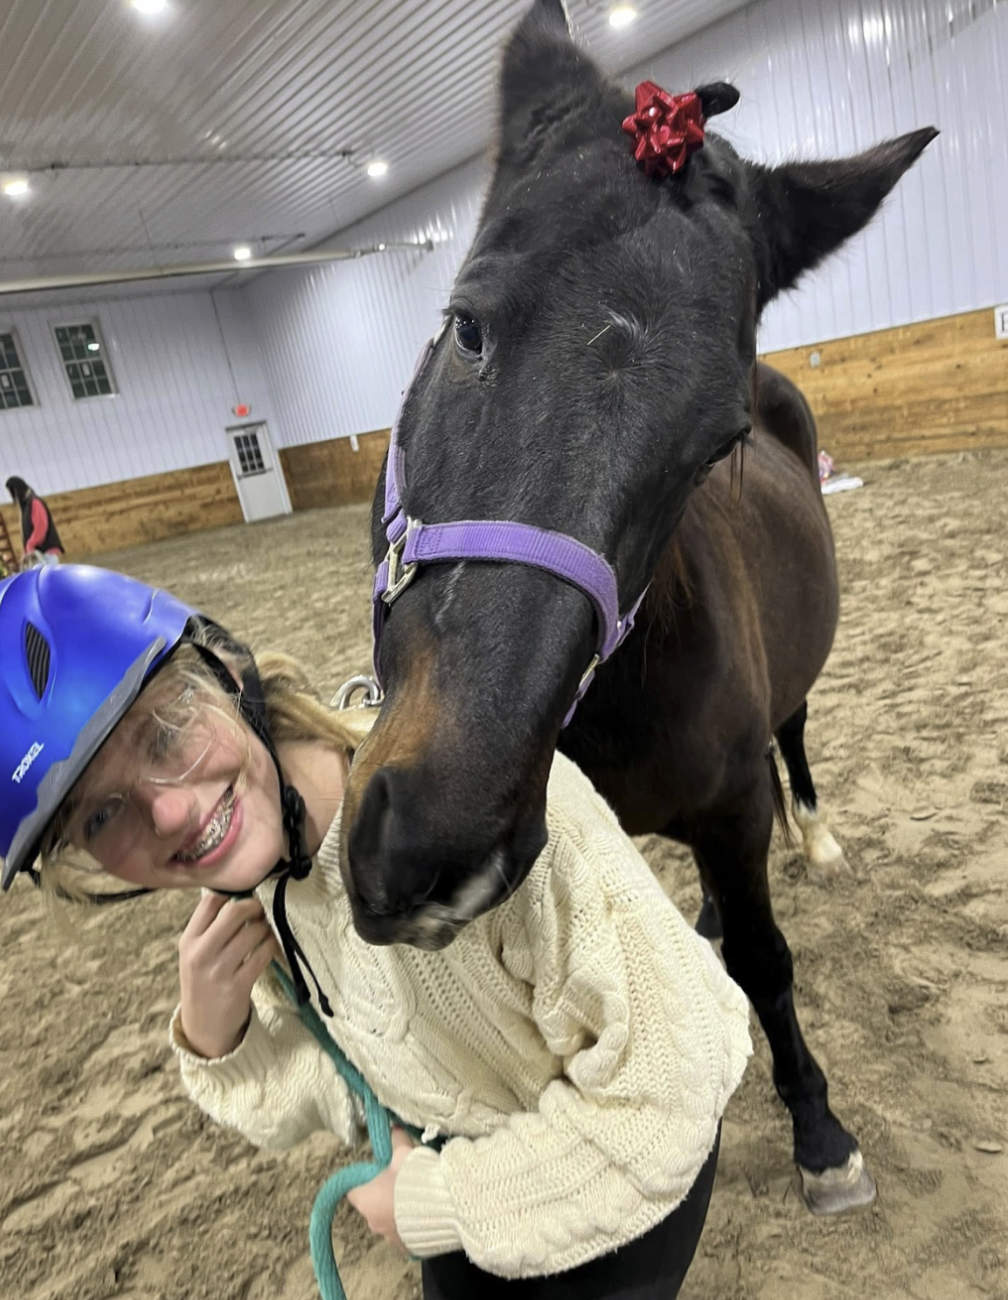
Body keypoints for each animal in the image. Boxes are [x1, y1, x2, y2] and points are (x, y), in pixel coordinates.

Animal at [339, 0, 937, 1215]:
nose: (432, 842)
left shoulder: (732, 809)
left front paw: (820, 1132)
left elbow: (766, 961)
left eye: (716, 443)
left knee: (795, 736)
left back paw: (819, 835)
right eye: (464, 327)